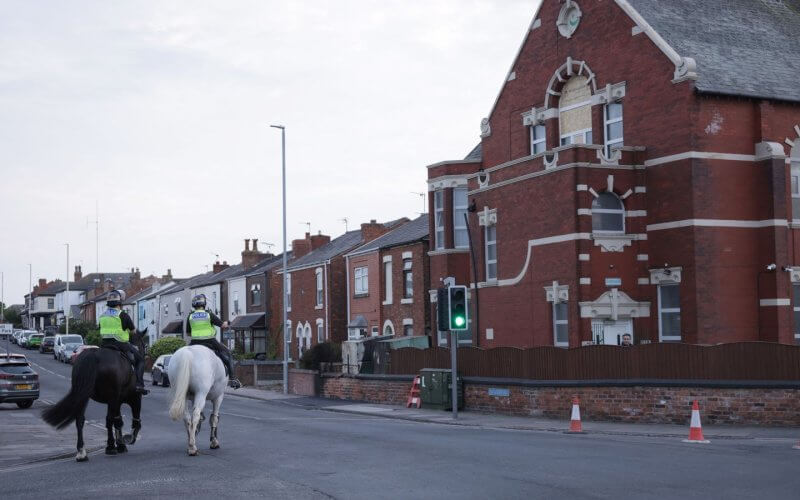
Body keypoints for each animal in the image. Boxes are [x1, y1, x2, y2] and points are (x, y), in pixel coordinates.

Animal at [42, 332, 146, 460]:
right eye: (143, 345)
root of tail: (93, 355)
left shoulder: (116, 401)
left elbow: (118, 419)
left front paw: (121, 444)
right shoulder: (133, 398)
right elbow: (130, 419)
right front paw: (126, 441)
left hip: (84, 396)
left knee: (80, 420)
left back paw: (81, 452)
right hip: (112, 397)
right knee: (109, 420)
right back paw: (110, 447)